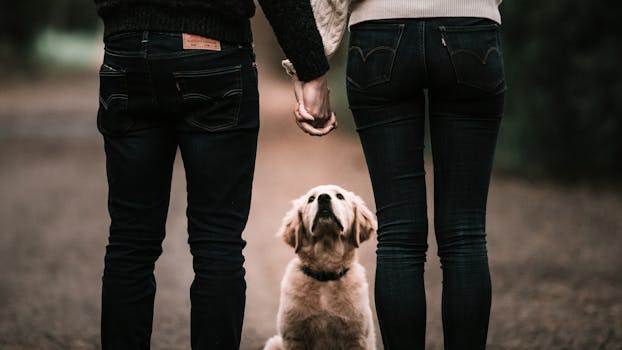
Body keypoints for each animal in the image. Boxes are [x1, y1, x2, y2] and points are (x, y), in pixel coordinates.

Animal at [264, 185, 378, 348]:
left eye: (340, 196)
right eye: (311, 199)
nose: (323, 198)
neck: (326, 274)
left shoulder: (357, 337)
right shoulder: (294, 337)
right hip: (274, 343)